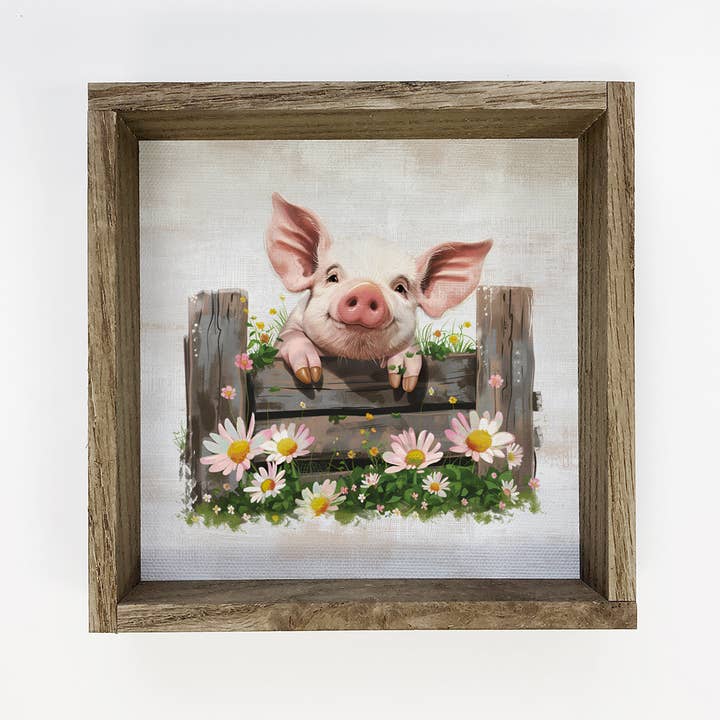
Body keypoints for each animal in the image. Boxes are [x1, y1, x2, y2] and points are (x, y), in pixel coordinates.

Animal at [265, 193, 493, 393]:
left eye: (400, 288)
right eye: (333, 278)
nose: (367, 290)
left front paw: (402, 380)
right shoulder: (288, 330)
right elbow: (290, 337)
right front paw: (310, 374)